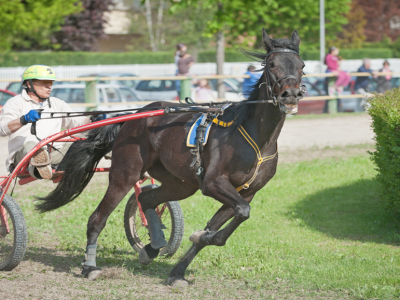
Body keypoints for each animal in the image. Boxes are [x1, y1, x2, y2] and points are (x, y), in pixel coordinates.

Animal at [36, 28, 304, 286]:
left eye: (301, 65)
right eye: (272, 64)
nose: (290, 94)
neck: (254, 136)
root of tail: (135, 115)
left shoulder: (246, 192)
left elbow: (231, 219)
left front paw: (180, 268)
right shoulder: (213, 183)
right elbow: (241, 212)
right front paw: (201, 237)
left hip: (181, 184)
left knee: (146, 198)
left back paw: (151, 248)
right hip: (125, 174)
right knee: (97, 218)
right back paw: (90, 267)